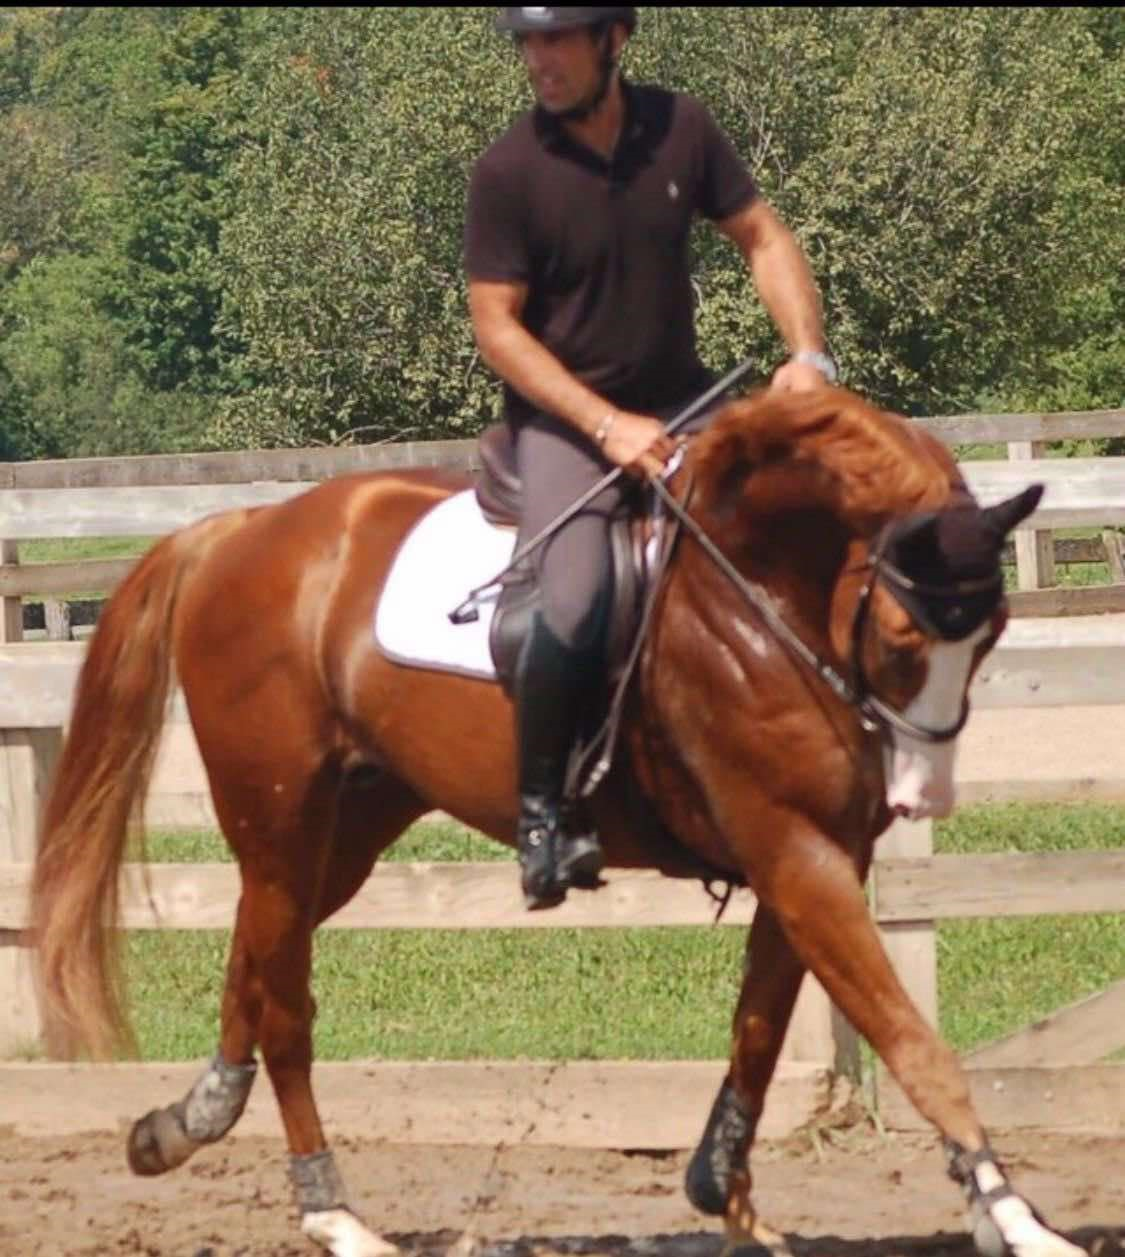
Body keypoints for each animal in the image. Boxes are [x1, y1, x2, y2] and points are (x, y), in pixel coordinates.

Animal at [29, 384, 1081, 1257]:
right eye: (904, 637)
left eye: (989, 635)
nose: (924, 796)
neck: (757, 591)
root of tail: (242, 529)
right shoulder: (796, 856)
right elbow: (915, 1045)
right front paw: (1018, 1222)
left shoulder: (811, 862)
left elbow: (759, 1028)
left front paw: (727, 1194)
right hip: (281, 823)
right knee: (284, 1002)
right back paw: (332, 1213)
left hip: (345, 830)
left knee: (251, 957)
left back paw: (183, 1123)